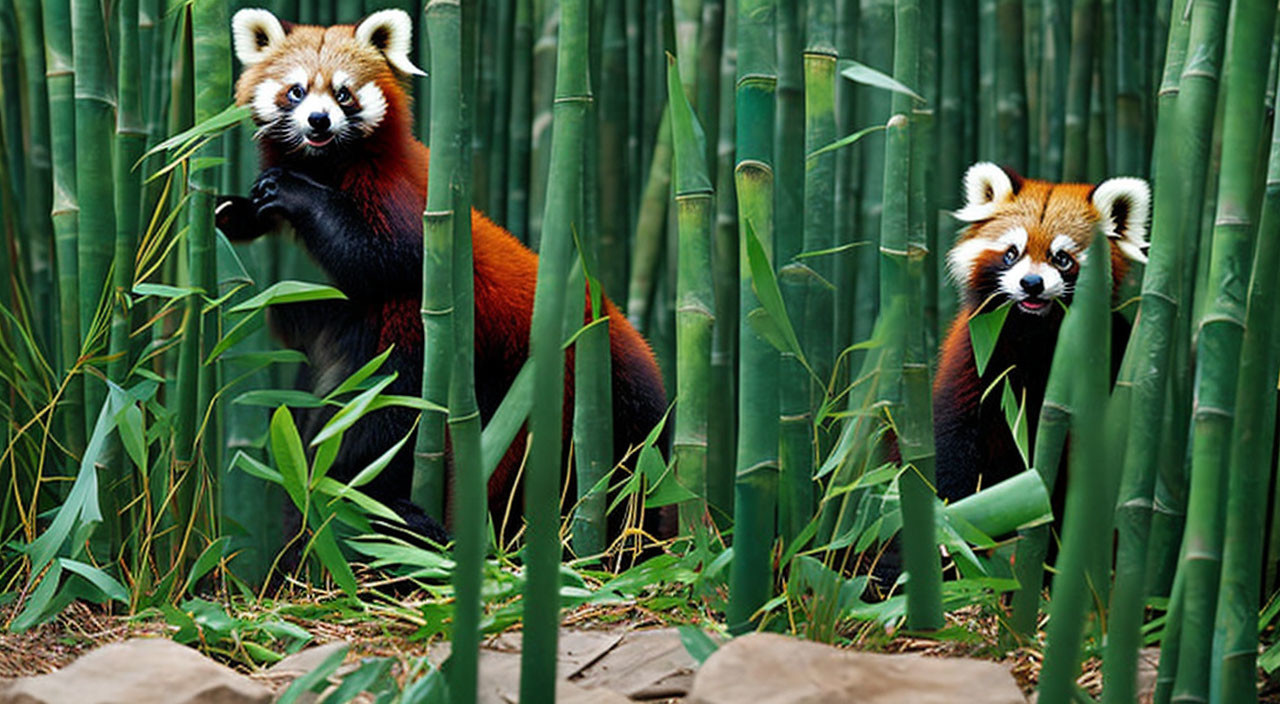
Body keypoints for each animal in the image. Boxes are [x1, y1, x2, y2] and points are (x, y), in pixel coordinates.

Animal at [213, 8, 665, 542]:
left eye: (343, 93)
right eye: (297, 91)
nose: (319, 120)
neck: (325, 165)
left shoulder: (405, 200)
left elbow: (383, 257)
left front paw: (290, 191)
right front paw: (234, 210)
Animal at [931, 163, 1152, 506]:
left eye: (1061, 258)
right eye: (1012, 253)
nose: (1031, 283)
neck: (1034, 333)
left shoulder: (1112, 348)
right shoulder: (975, 357)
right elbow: (955, 445)